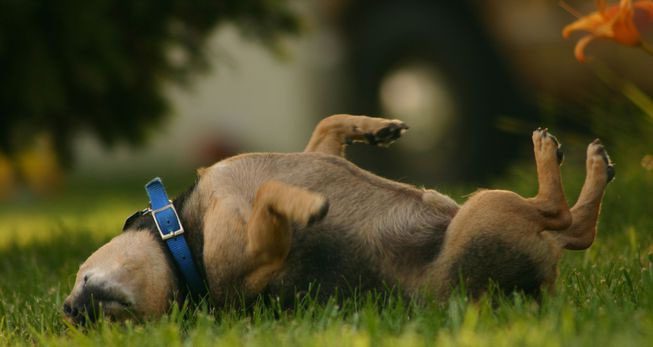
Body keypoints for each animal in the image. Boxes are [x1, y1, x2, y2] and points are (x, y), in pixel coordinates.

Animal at [61, 115, 612, 324]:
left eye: (78, 278)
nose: (71, 313)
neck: (182, 244)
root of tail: (537, 288)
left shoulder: (316, 150)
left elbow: (327, 127)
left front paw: (379, 129)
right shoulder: (260, 258)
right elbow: (270, 196)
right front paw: (307, 206)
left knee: (576, 229)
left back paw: (591, 162)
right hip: (483, 210)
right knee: (566, 219)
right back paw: (552, 153)